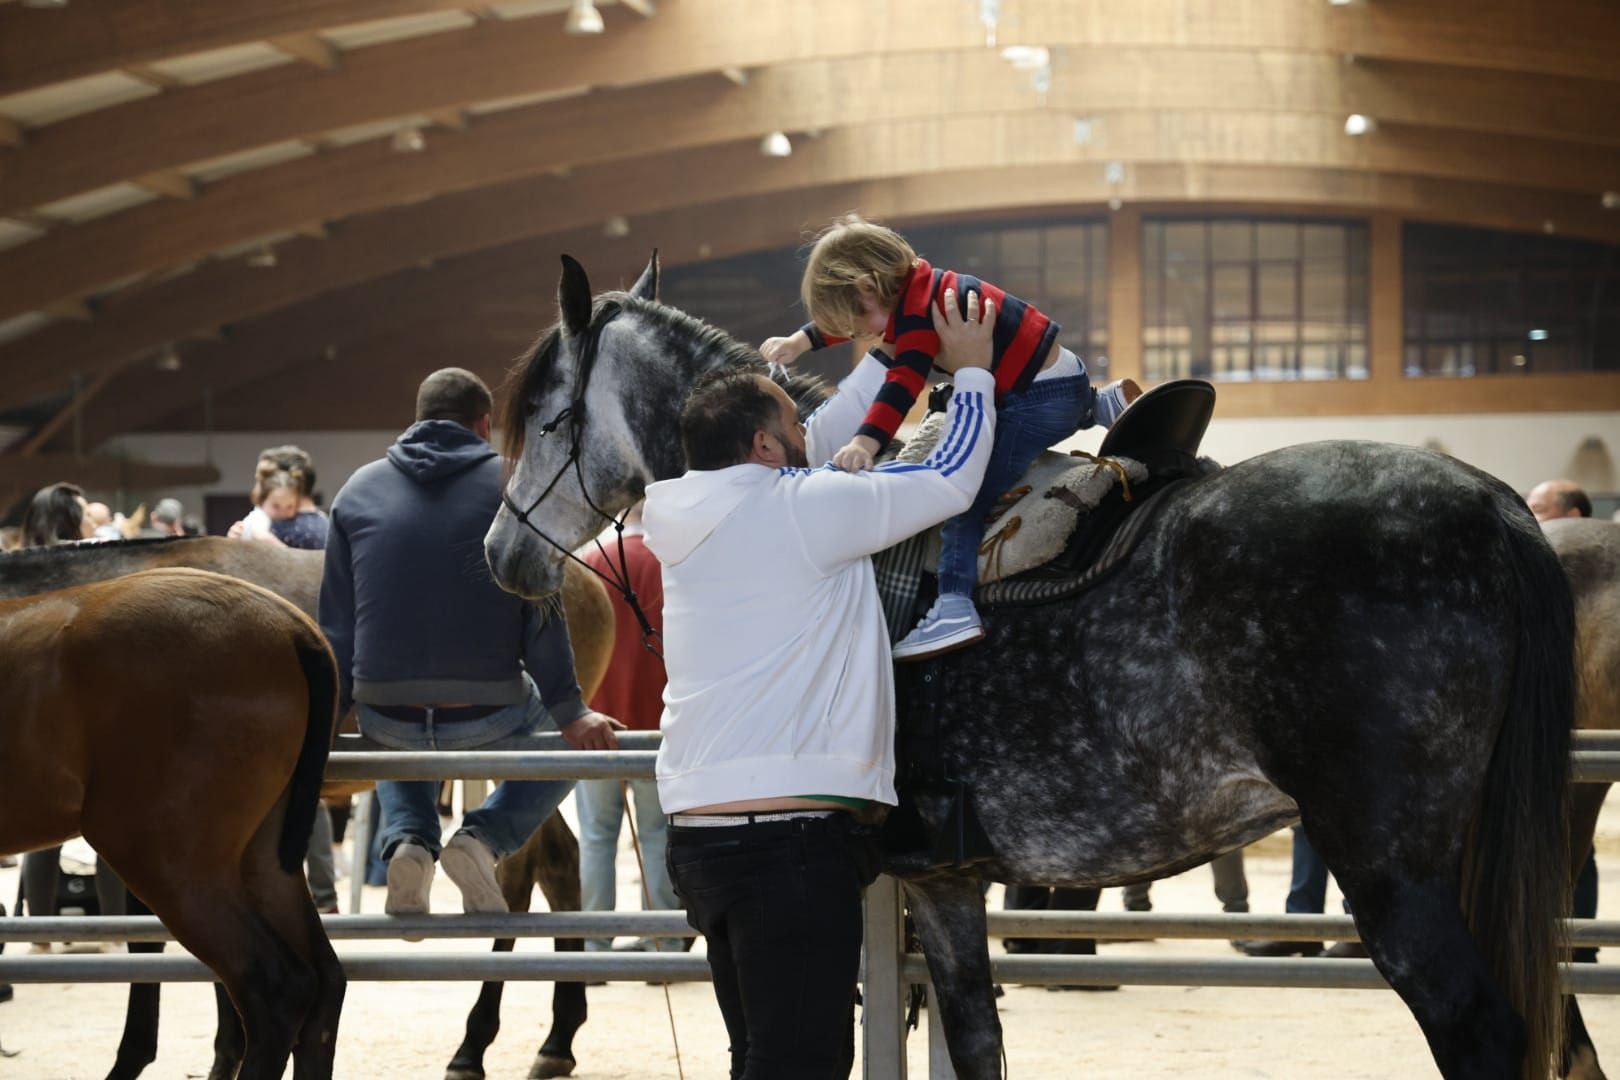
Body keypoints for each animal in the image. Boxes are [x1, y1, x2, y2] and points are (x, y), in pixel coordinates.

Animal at [486, 255, 1574, 1080]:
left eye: (545, 416)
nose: (502, 554)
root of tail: (1493, 505)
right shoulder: (951, 880)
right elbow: (977, 1043)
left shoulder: (918, 880)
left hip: (1396, 871)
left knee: (1483, 1033)